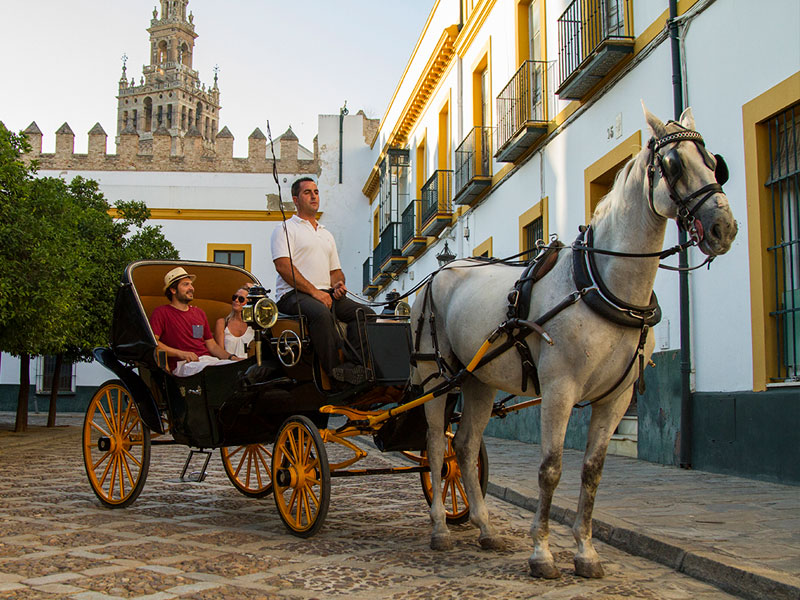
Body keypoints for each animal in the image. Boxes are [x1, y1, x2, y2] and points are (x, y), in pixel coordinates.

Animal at [412, 105, 736, 580]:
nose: (723, 228)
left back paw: (485, 528)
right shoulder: (560, 390)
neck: (600, 284)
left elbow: (591, 472)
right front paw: (542, 553)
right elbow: (550, 468)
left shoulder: (617, 397)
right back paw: (438, 527)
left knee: (466, 448)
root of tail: (439, 272)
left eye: (715, 164)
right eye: (674, 165)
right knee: (437, 447)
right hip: (436, 377)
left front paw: (585, 552)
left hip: (478, 381)